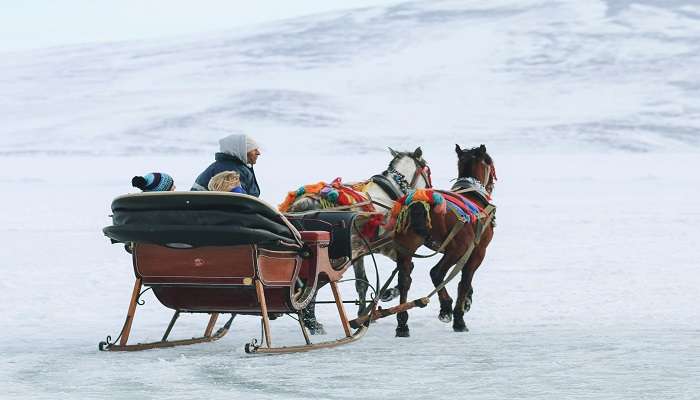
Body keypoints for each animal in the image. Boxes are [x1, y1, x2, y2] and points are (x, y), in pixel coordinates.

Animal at [286, 147, 432, 334]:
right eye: (427, 169)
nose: (430, 189)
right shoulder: (387, 246)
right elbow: (406, 270)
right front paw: (389, 294)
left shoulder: (359, 251)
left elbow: (362, 282)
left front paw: (363, 312)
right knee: (313, 284)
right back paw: (312, 322)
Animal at [394, 145, 498, 336]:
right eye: (490, 162)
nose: (491, 187)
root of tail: (423, 202)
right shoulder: (477, 251)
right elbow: (464, 281)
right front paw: (459, 314)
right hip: (457, 249)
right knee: (437, 273)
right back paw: (447, 309)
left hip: (405, 248)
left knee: (404, 280)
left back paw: (403, 323)